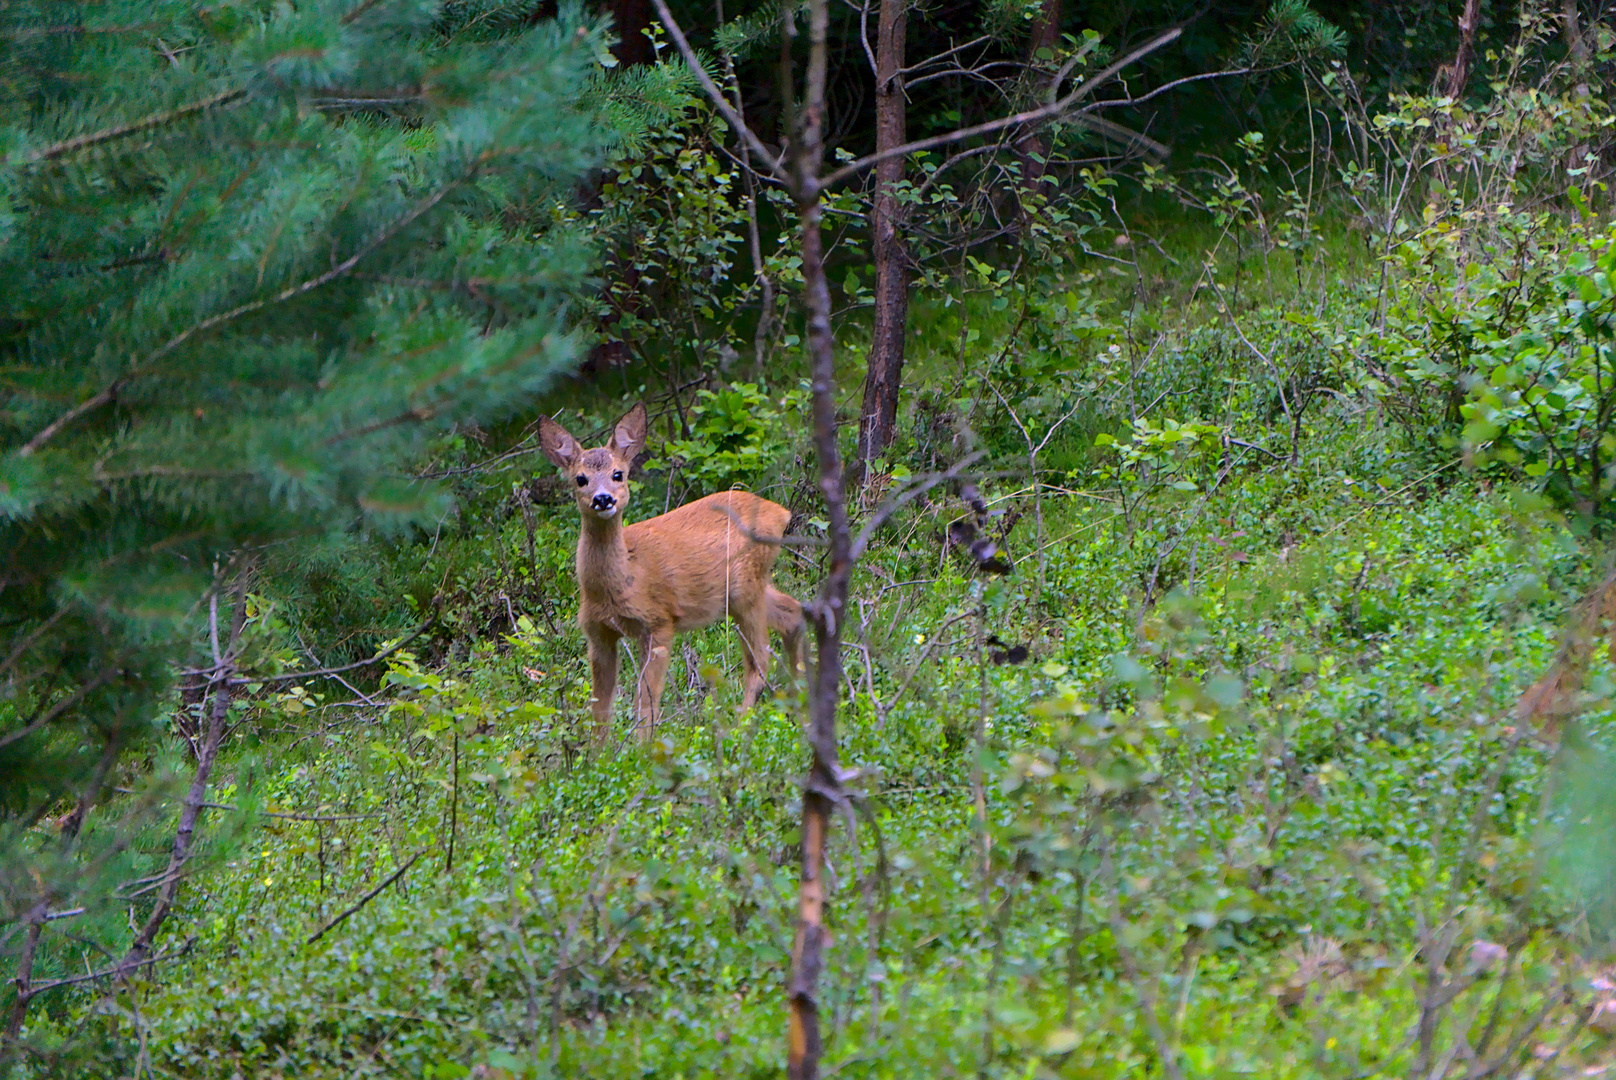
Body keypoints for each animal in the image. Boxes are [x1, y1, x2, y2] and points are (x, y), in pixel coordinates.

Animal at [536, 404, 808, 743]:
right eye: (580, 478)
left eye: (618, 474)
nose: (603, 499)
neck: (623, 581)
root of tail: (780, 513)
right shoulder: (597, 633)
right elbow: (600, 709)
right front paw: (597, 754)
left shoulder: (658, 622)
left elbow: (646, 701)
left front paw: (643, 749)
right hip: (746, 589)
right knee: (793, 613)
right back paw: (798, 704)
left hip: (744, 587)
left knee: (759, 656)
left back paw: (740, 726)